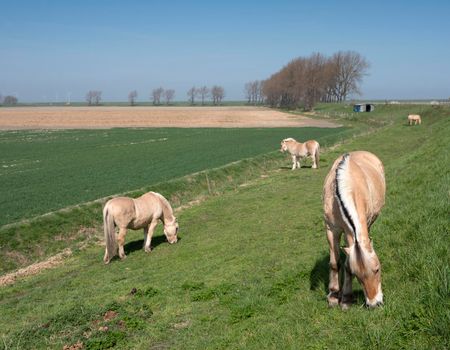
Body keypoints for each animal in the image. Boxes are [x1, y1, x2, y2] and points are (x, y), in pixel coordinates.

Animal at [322, 151, 384, 308]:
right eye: (358, 276)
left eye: (377, 269)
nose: (375, 303)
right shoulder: (331, 229)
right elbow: (335, 263)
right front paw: (333, 296)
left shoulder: (351, 232)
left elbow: (346, 264)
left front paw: (346, 299)